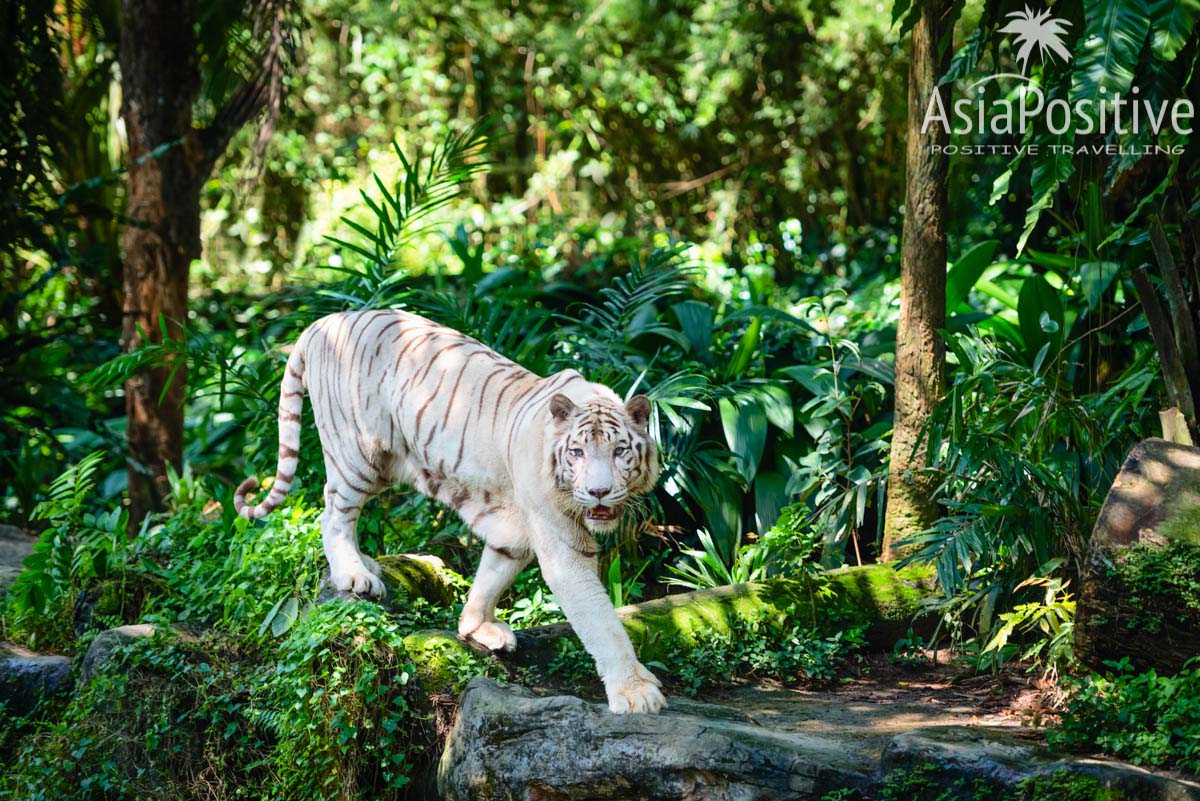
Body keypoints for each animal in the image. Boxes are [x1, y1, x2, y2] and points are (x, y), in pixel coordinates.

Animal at [234, 311, 667, 714]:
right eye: (577, 452)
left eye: (620, 451)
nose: (599, 492)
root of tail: (322, 322)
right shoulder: (562, 545)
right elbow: (601, 622)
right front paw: (636, 692)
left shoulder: (514, 528)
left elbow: (494, 572)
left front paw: (476, 626)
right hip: (357, 452)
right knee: (332, 512)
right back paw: (354, 575)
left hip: (383, 465)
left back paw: (367, 564)